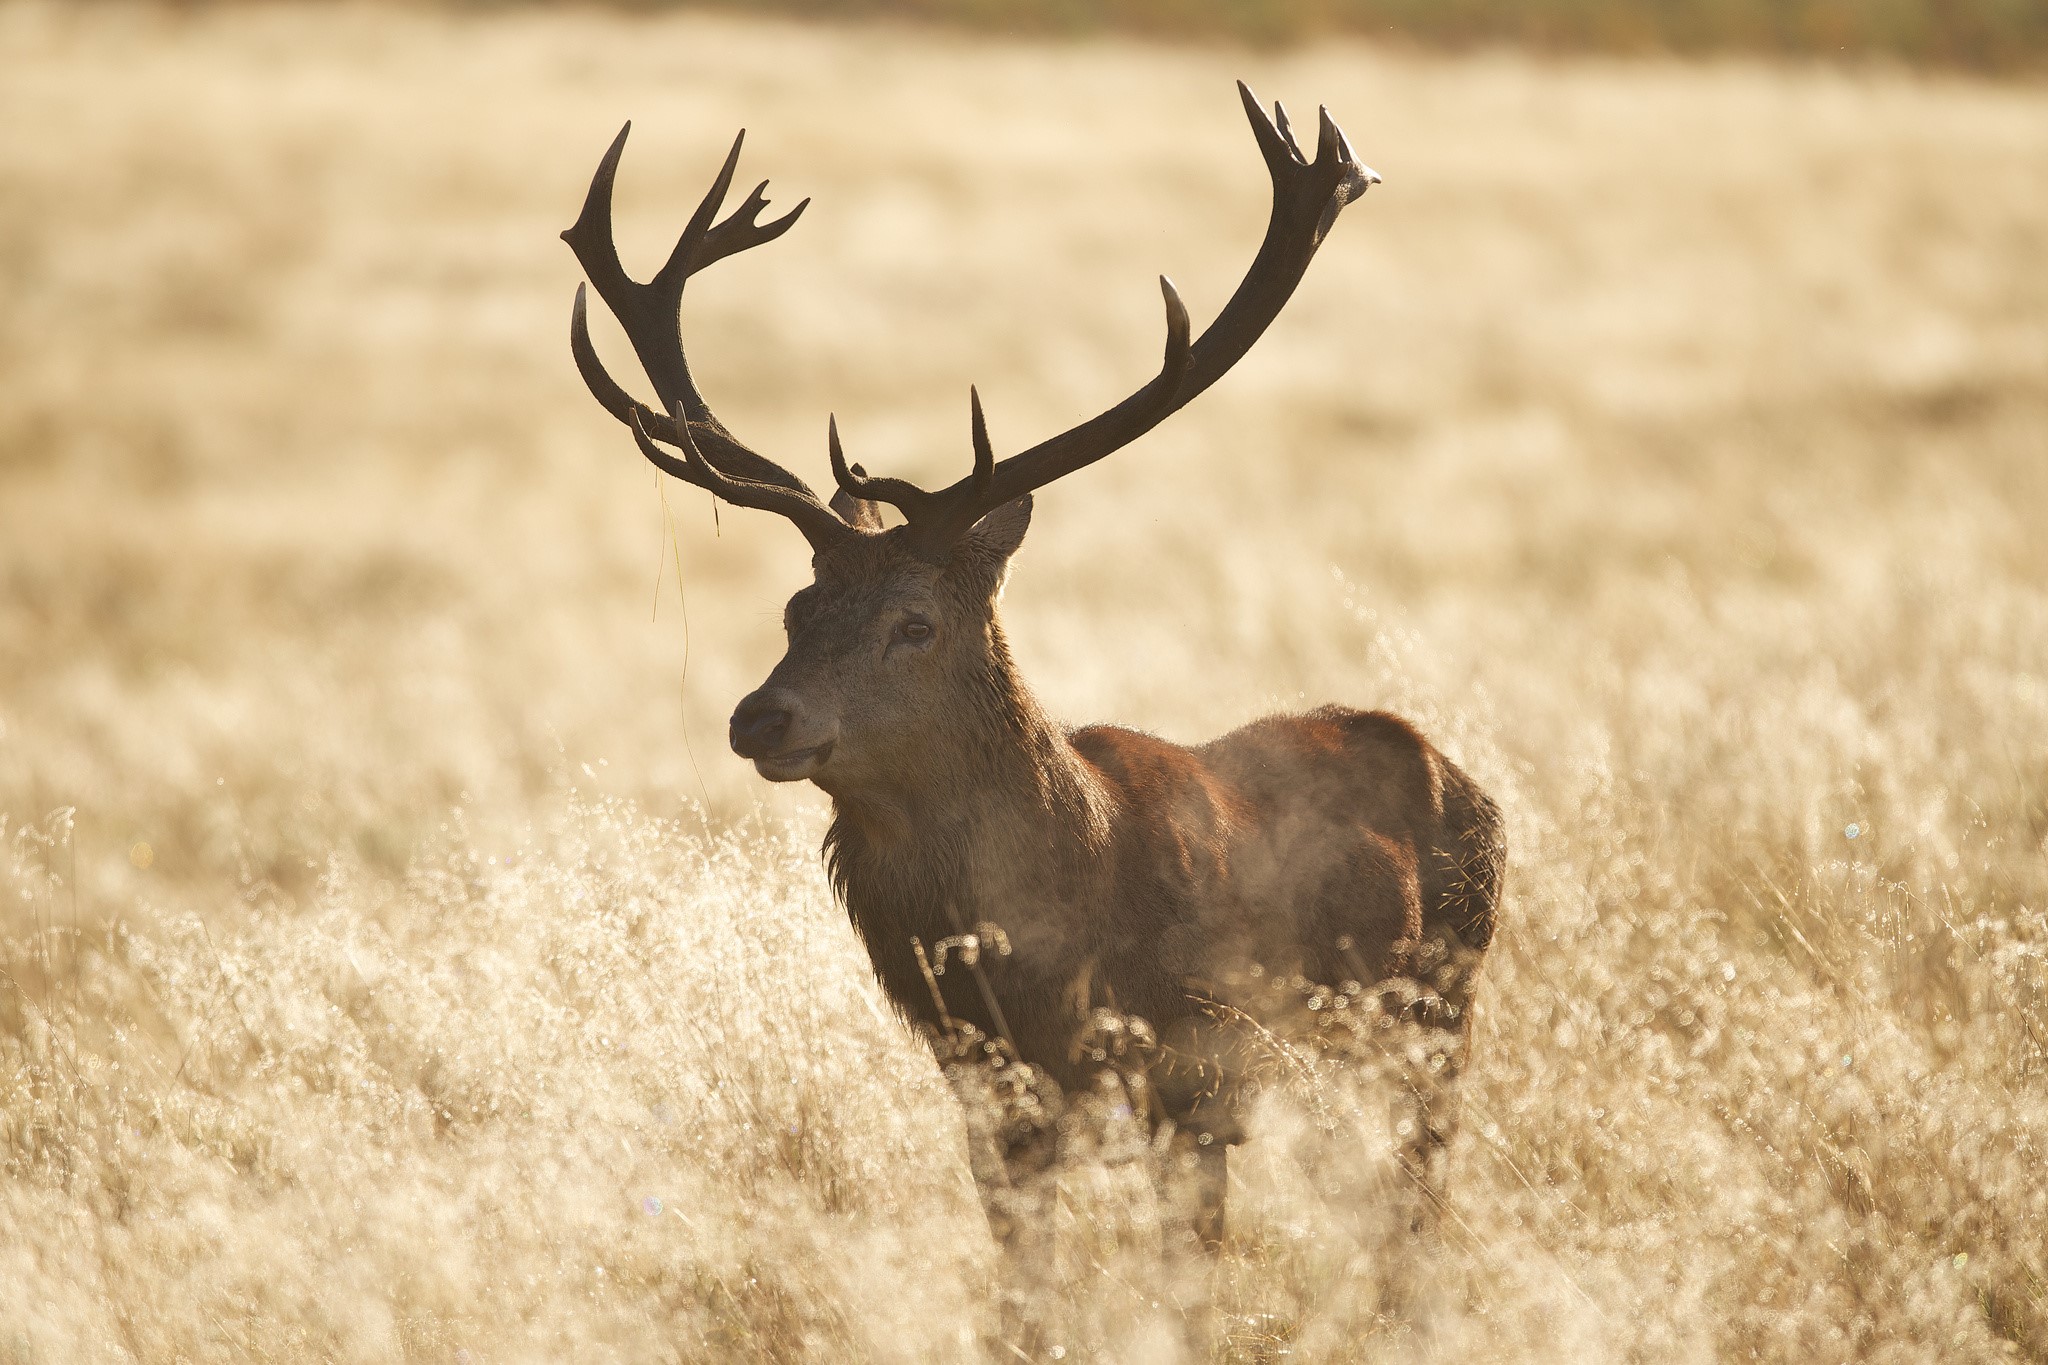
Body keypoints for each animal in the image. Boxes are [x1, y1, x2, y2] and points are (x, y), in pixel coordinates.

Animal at [561, 85, 1505, 1251]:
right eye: (795, 606)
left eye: (915, 622)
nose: (760, 718)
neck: (1047, 949)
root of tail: (1458, 774)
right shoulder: (989, 1091)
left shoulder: (1198, 1071)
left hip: (1437, 1017)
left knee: (1414, 1214)